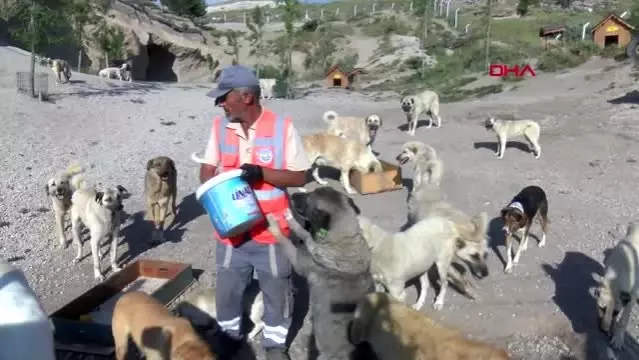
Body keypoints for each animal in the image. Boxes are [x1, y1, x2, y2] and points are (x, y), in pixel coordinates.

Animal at [264, 186, 376, 360]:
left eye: (308, 200)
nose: (293, 195)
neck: (343, 239)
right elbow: (305, 233)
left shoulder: (299, 260)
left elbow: (288, 239)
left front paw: (277, 224)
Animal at [360, 212, 490, 310]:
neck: (379, 245)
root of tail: (448, 223)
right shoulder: (378, 286)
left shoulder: (398, 293)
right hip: (423, 266)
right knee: (425, 285)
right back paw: (419, 303)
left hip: (441, 265)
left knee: (444, 283)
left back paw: (439, 302)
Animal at [592, 221, 639, 350]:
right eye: (601, 308)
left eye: (616, 312)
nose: (604, 330)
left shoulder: (631, 299)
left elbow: (623, 321)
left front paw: (617, 338)